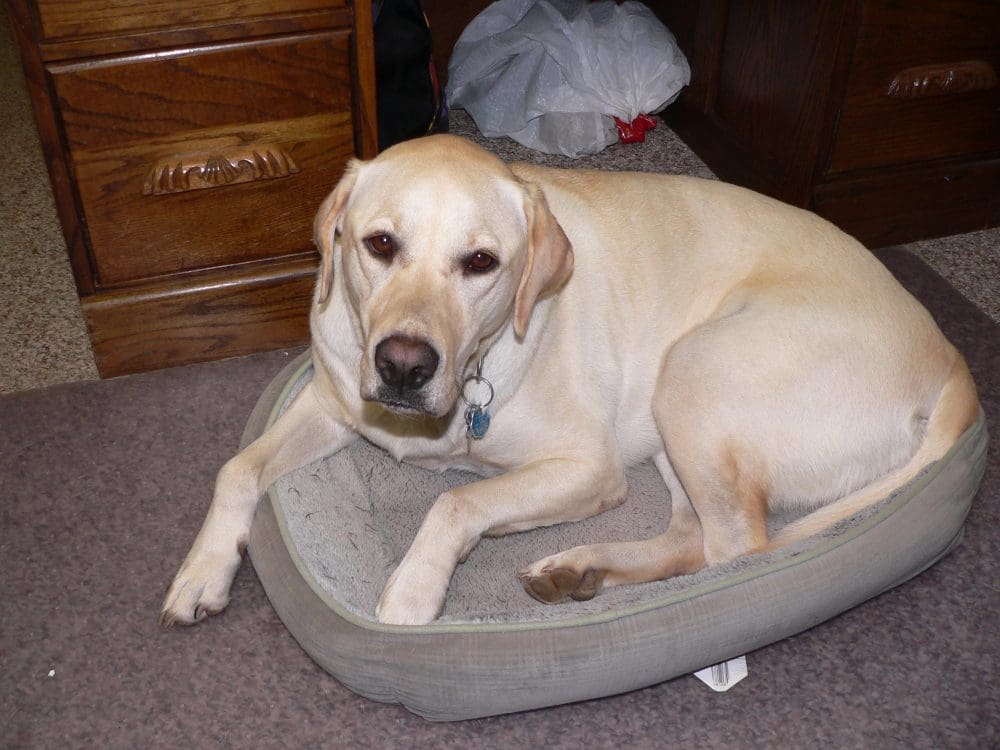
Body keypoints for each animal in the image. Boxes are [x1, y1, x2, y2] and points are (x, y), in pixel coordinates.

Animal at [160, 134, 979, 627]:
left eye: (481, 262)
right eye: (380, 244)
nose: (403, 365)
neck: (478, 367)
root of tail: (951, 361)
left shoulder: (590, 468)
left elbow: (458, 500)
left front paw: (415, 590)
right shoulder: (332, 402)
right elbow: (238, 468)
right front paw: (202, 571)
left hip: (692, 372)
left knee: (735, 549)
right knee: (692, 539)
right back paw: (579, 570)